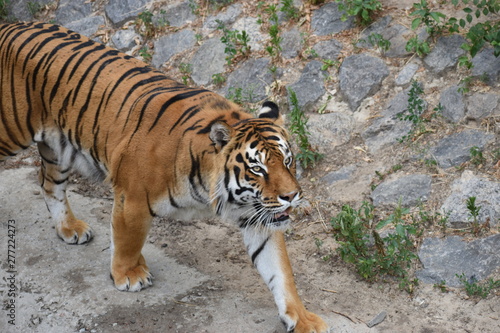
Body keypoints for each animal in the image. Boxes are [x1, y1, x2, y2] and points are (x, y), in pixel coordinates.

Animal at [0, 22, 330, 330]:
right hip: (11, 133)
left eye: (288, 161)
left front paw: (303, 319)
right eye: (258, 169)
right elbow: (128, 240)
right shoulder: (132, 199)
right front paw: (128, 275)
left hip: (58, 149)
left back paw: (69, 228)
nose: (291, 197)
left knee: (47, 183)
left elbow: (280, 272)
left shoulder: (257, 216)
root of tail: (11, 25)